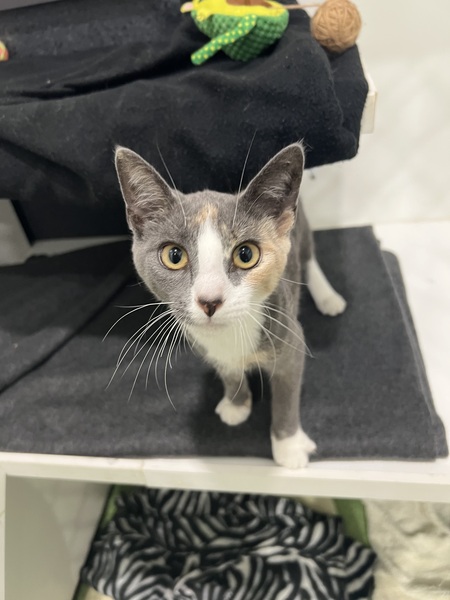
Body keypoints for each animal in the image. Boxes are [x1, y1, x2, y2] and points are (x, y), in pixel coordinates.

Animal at [114, 143, 346, 468]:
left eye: (246, 254)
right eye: (174, 256)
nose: (209, 300)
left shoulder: (290, 337)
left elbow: (286, 395)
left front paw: (288, 446)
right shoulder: (204, 346)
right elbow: (228, 370)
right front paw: (237, 404)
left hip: (300, 230)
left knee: (309, 256)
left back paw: (328, 297)